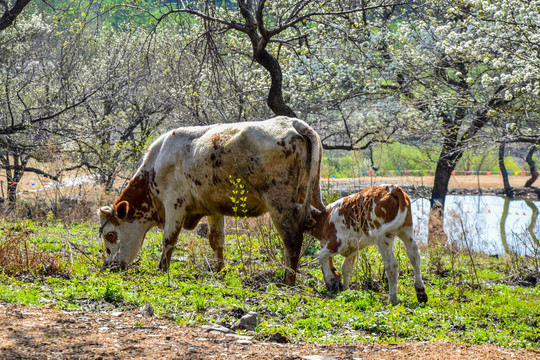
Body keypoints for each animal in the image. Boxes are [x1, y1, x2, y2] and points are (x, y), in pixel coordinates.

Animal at [97, 116, 324, 286]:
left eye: (110, 235)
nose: (109, 266)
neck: (156, 165)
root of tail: (292, 122)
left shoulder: (174, 204)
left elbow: (169, 239)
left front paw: (162, 269)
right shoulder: (214, 209)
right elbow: (216, 240)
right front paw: (220, 271)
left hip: (280, 204)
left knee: (291, 239)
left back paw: (288, 280)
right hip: (311, 196)